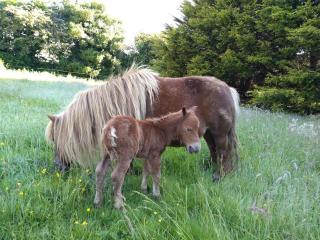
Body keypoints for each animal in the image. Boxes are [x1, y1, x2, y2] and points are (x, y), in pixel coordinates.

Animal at [45, 65, 240, 180]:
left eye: (56, 140)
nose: (58, 168)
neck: (116, 101)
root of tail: (227, 88)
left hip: (220, 134)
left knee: (223, 152)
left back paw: (219, 176)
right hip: (208, 134)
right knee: (215, 152)